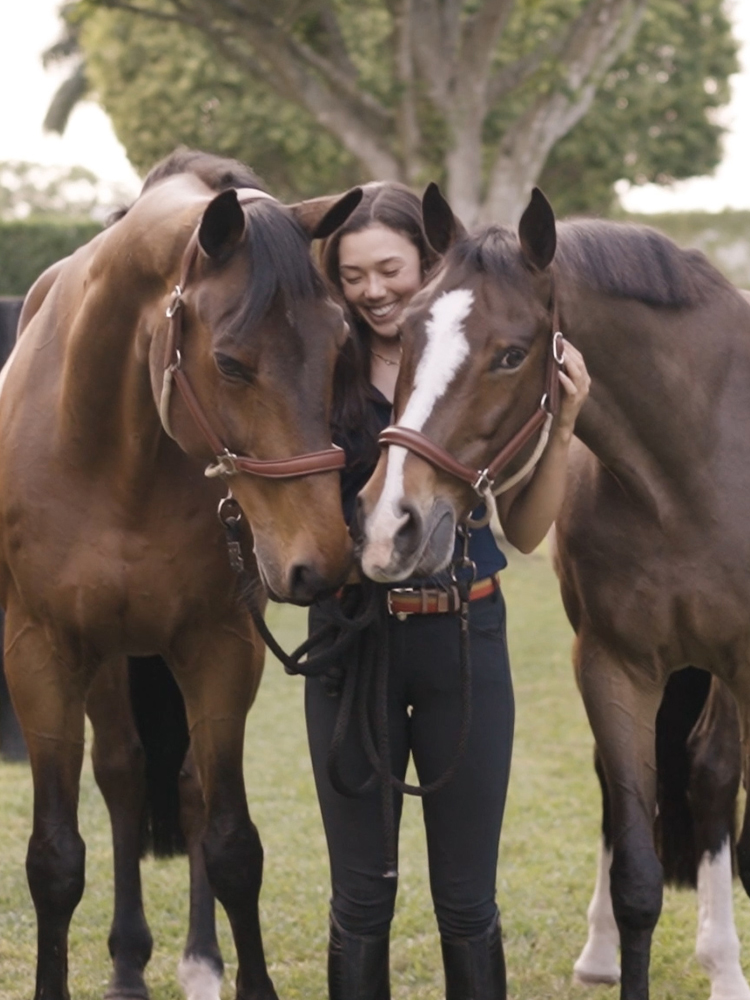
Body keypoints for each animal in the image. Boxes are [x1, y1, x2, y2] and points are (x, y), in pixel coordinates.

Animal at [1, 148, 362, 1000]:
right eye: (229, 362)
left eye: (342, 348)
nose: (322, 559)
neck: (113, 449)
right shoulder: (41, 652)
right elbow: (55, 859)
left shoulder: (220, 646)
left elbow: (231, 843)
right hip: (106, 658)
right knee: (124, 774)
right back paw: (129, 962)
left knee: (189, 789)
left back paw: (199, 958)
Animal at [358, 184, 750, 996]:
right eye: (406, 334)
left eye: (512, 354)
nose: (389, 524)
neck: (701, 464)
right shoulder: (612, 665)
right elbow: (637, 880)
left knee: (711, 775)